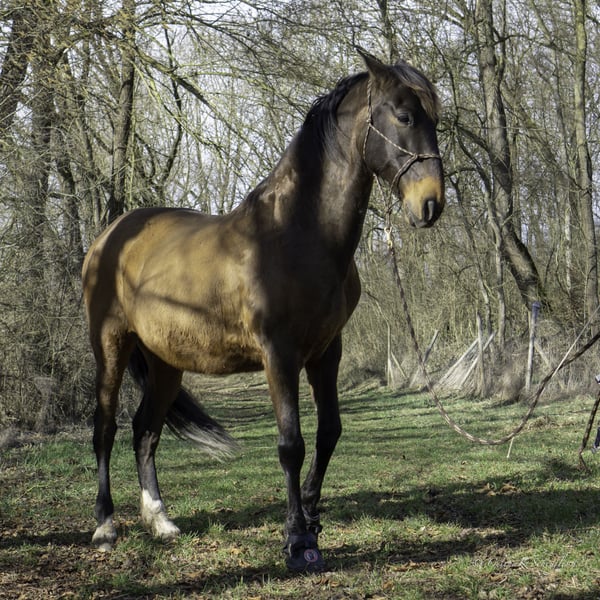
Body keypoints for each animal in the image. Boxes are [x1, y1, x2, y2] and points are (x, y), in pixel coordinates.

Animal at [82, 49, 444, 572]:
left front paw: (312, 515)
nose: (431, 204)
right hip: (111, 344)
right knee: (107, 427)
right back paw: (106, 526)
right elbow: (291, 444)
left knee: (145, 431)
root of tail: (111, 236)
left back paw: (161, 522)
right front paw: (298, 540)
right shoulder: (280, 354)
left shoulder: (326, 353)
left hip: (165, 362)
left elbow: (329, 432)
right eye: (404, 116)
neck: (297, 234)